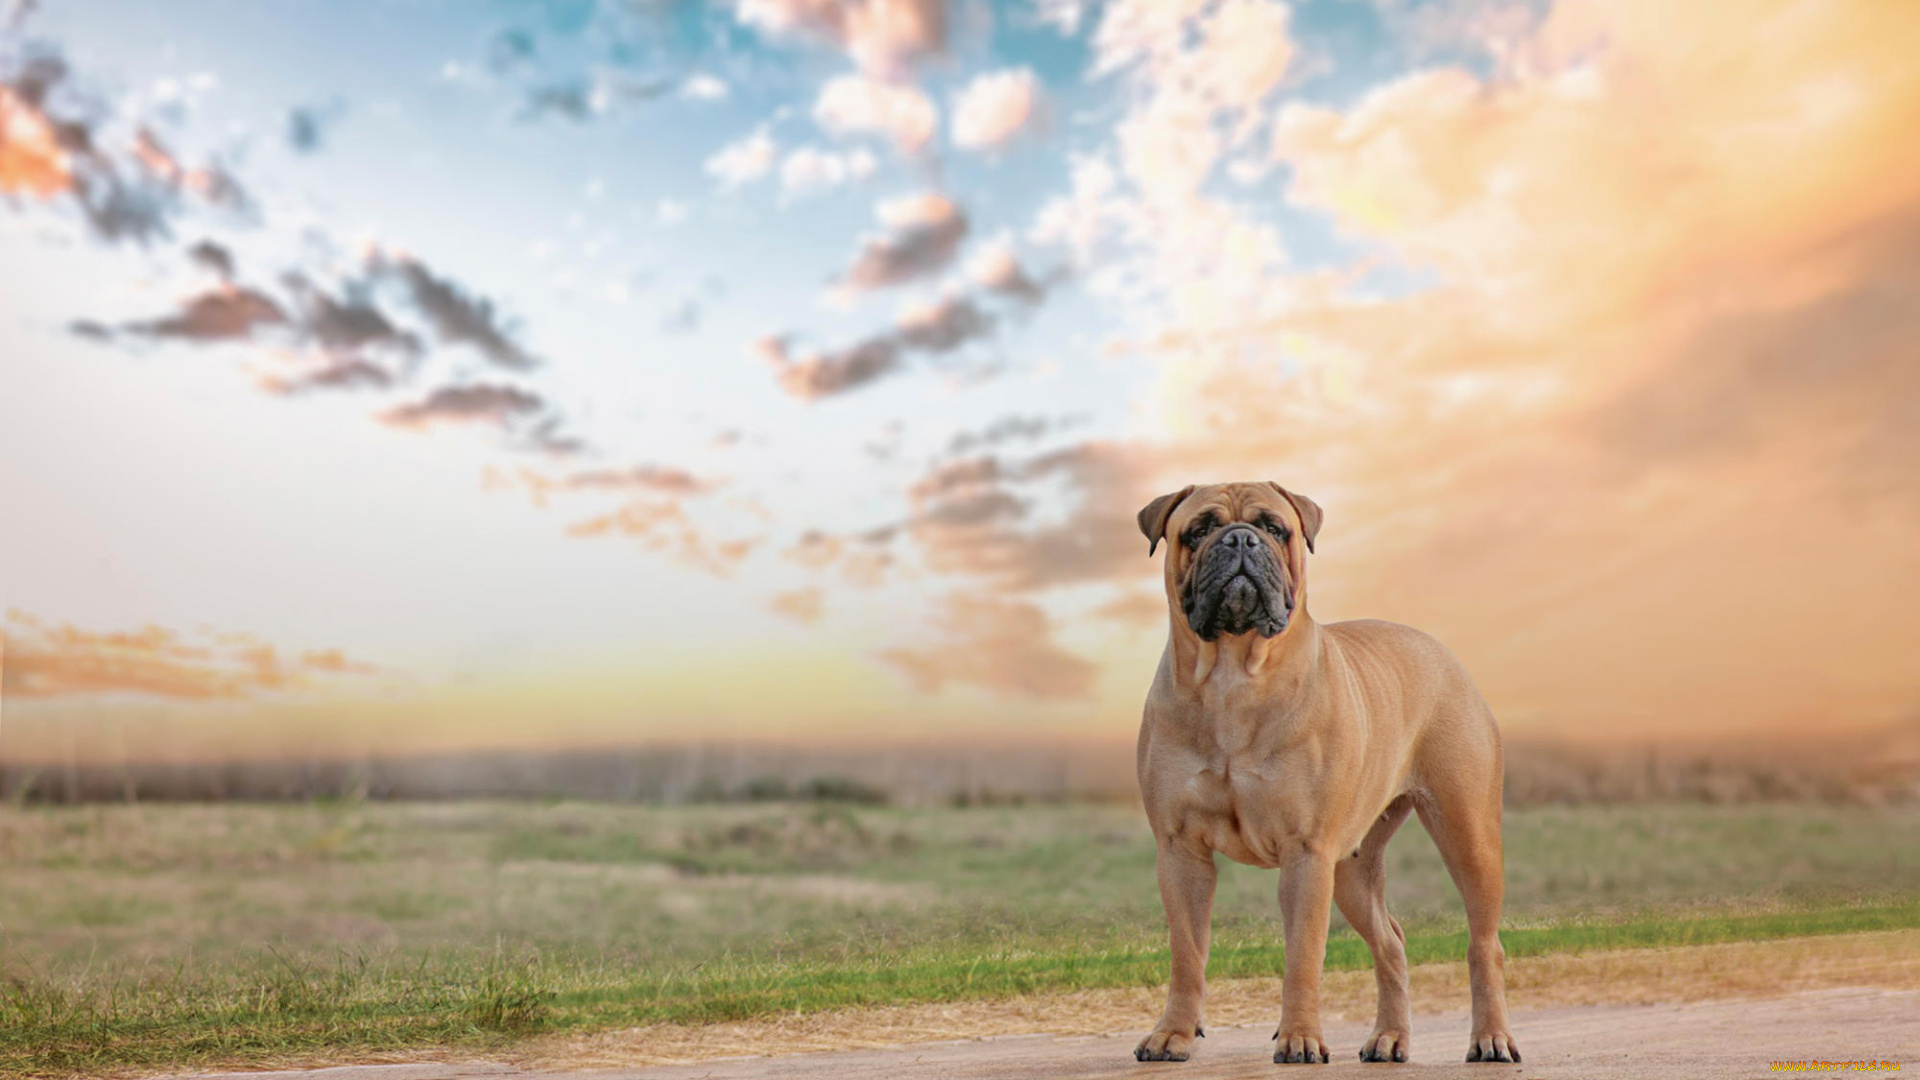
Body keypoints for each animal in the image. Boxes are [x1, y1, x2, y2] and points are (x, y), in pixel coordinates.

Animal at [1121, 484, 1512, 1060]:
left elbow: (1302, 955)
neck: (1232, 676)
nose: (1240, 539)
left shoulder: (1306, 852)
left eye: (1274, 528)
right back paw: (1389, 1038)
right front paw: (1173, 1033)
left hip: (1467, 835)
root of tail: (1443, 653)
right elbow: (1187, 952)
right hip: (1352, 865)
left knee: (1484, 944)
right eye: (1199, 530)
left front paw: (1300, 1037)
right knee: (1390, 941)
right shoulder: (1181, 849)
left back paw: (1491, 1038)